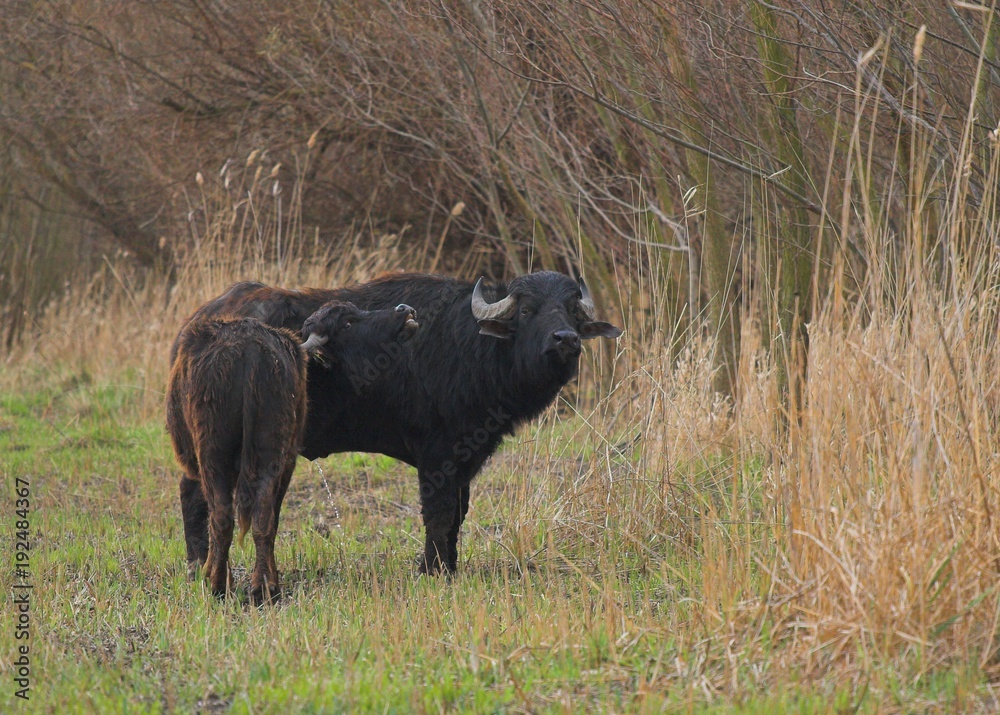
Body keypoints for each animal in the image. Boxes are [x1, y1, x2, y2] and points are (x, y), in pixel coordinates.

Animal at [168, 300, 418, 600]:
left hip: (218, 456)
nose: (404, 309)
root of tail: (250, 351)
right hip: (267, 454)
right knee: (257, 517)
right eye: (348, 323)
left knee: (224, 516)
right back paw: (260, 585)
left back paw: (224, 584)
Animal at [176, 272, 620, 572]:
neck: (473, 347)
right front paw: (435, 569)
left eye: (572, 311)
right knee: (194, 493)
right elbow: (439, 513)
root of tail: (197, 323)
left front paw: (449, 565)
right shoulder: (437, 455)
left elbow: (458, 513)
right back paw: (199, 562)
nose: (565, 339)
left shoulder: (467, 457)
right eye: (528, 310)